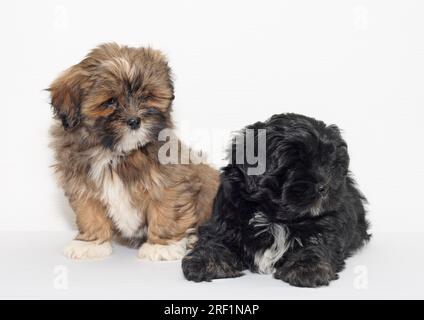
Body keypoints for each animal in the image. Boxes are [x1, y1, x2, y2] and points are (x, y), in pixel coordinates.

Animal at [49, 43, 219, 260]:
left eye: (146, 97)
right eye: (110, 102)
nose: (134, 121)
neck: (114, 153)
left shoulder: (171, 181)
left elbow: (167, 210)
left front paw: (161, 246)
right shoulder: (81, 184)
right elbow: (90, 213)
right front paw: (91, 243)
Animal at [182, 113, 372, 288]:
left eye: (330, 164)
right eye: (293, 164)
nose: (324, 186)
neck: (274, 217)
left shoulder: (328, 225)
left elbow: (317, 243)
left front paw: (308, 268)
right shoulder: (224, 220)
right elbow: (214, 240)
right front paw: (203, 261)